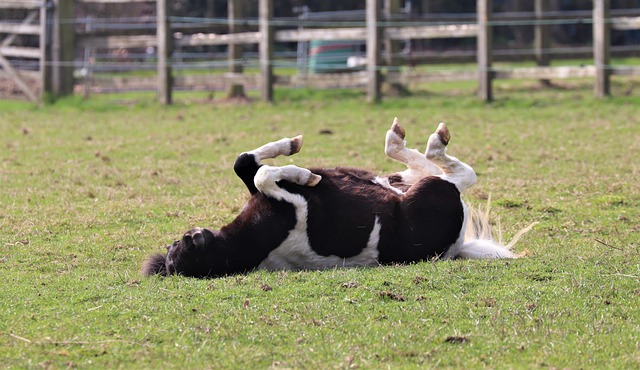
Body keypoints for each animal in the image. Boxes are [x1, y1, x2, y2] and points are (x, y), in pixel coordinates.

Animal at [142, 118, 532, 278]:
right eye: (183, 244)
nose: (190, 235)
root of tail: (457, 247)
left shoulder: (255, 188)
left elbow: (245, 164)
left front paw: (292, 148)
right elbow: (263, 174)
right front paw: (302, 173)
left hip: (407, 183)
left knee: (411, 167)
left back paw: (395, 140)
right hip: (432, 192)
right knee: (456, 173)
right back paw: (430, 140)